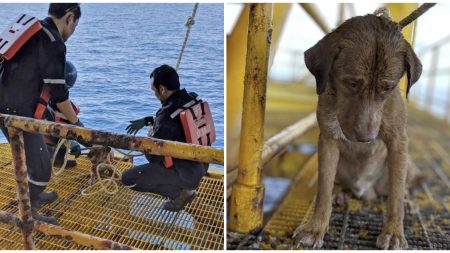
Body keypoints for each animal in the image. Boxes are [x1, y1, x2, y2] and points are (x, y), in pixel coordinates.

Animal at [294, 13, 424, 249]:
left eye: (388, 87)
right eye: (351, 82)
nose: (366, 138)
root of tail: (366, 190)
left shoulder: (398, 142)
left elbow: (395, 197)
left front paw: (394, 232)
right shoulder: (328, 140)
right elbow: (323, 190)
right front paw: (315, 227)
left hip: (406, 164)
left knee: (402, 187)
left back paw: (407, 201)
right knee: (337, 184)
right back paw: (340, 194)